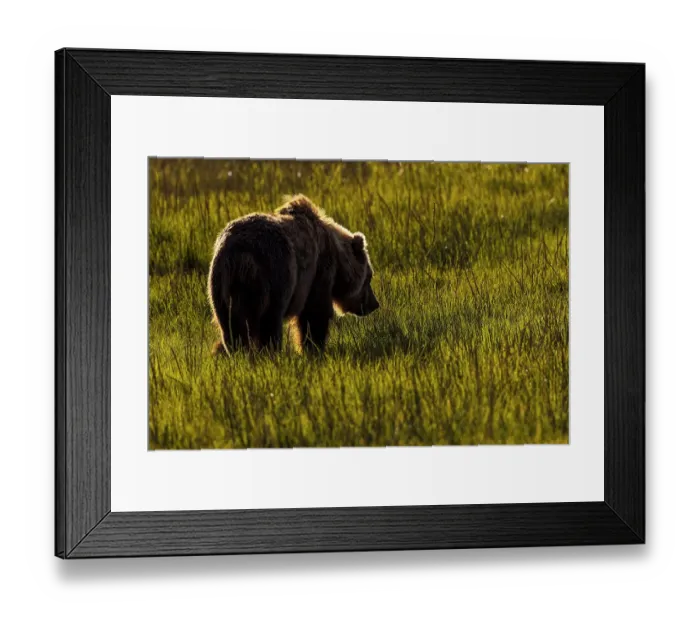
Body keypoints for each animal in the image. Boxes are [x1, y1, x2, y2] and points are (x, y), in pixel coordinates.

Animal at [207, 194, 379, 355]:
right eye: (369, 277)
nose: (375, 304)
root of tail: (239, 256)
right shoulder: (319, 271)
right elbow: (315, 313)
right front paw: (313, 348)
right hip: (276, 275)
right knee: (270, 322)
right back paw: (269, 352)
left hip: (220, 288)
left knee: (231, 327)